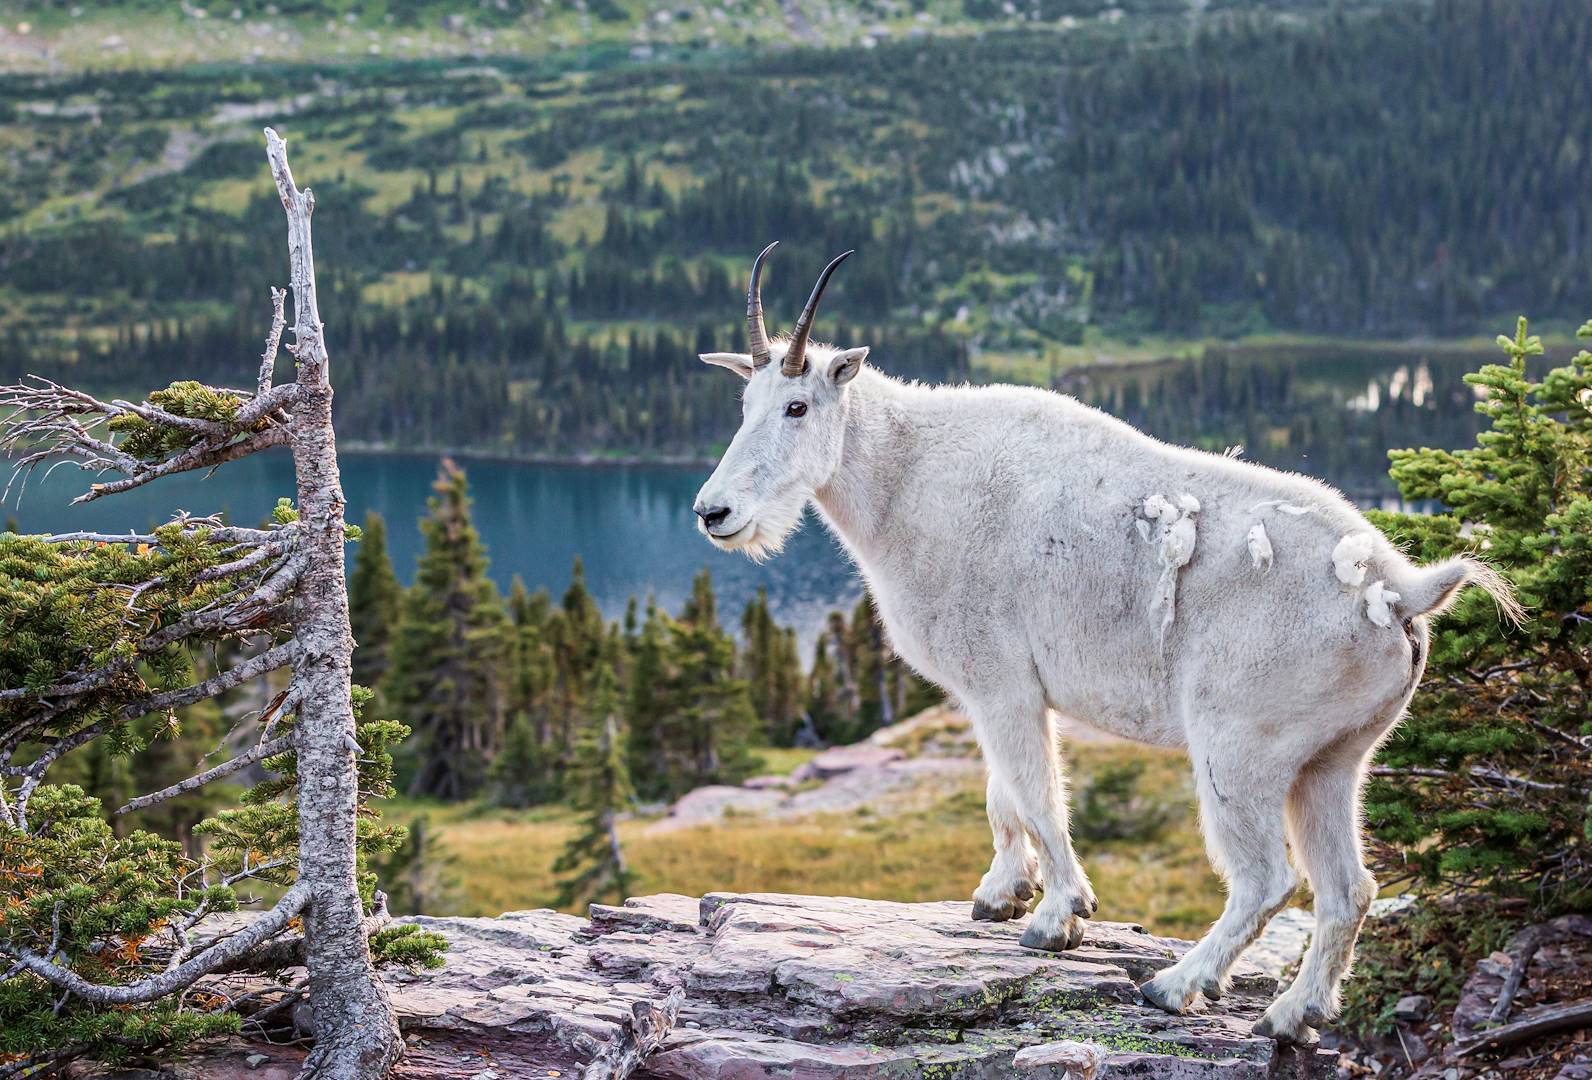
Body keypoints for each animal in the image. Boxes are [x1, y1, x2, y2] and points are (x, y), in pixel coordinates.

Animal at [692, 244, 1520, 1042]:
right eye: (743, 404)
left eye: (798, 405)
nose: (713, 512)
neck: (907, 480)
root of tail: (1399, 591)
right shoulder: (1002, 690)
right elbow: (1002, 791)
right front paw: (1000, 896)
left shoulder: (1001, 680)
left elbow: (1034, 795)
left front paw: (1058, 918)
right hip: (1335, 760)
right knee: (1349, 888)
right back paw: (1293, 1015)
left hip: (1242, 745)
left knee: (1267, 878)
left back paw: (1176, 986)